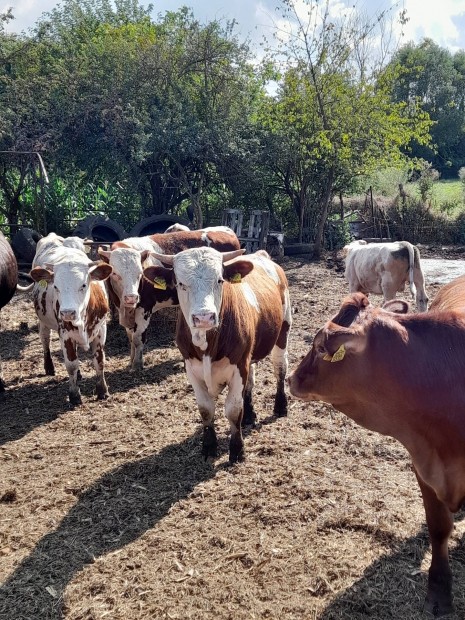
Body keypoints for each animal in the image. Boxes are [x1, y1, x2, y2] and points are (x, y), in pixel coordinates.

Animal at [29, 232, 112, 406]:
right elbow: (71, 364)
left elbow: (99, 361)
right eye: (55, 286)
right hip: (44, 321)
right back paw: (49, 366)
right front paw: (74, 395)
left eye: (83, 285)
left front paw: (102, 390)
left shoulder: (101, 329)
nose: (68, 313)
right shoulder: (65, 334)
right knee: (45, 339)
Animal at [99, 228, 241, 372]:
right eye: (115, 274)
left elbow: (137, 338)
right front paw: (131, 361)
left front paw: (137, 365)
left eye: (140, 273)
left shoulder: (144, 308)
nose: (131, 297)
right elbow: (130, 337)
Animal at [143, 247, 292, 464]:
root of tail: (262, 255)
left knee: (280, 369)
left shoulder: (238, 366)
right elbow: (206, 410)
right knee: (251, 380)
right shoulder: (192, 369)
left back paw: (280, 406)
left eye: (220, 280)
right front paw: (209, 446)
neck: (206, 345)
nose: (204, 317)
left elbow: (233, 410)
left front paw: (237, 449)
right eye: (180, 283)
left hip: (283, 332)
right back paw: (250, 414)